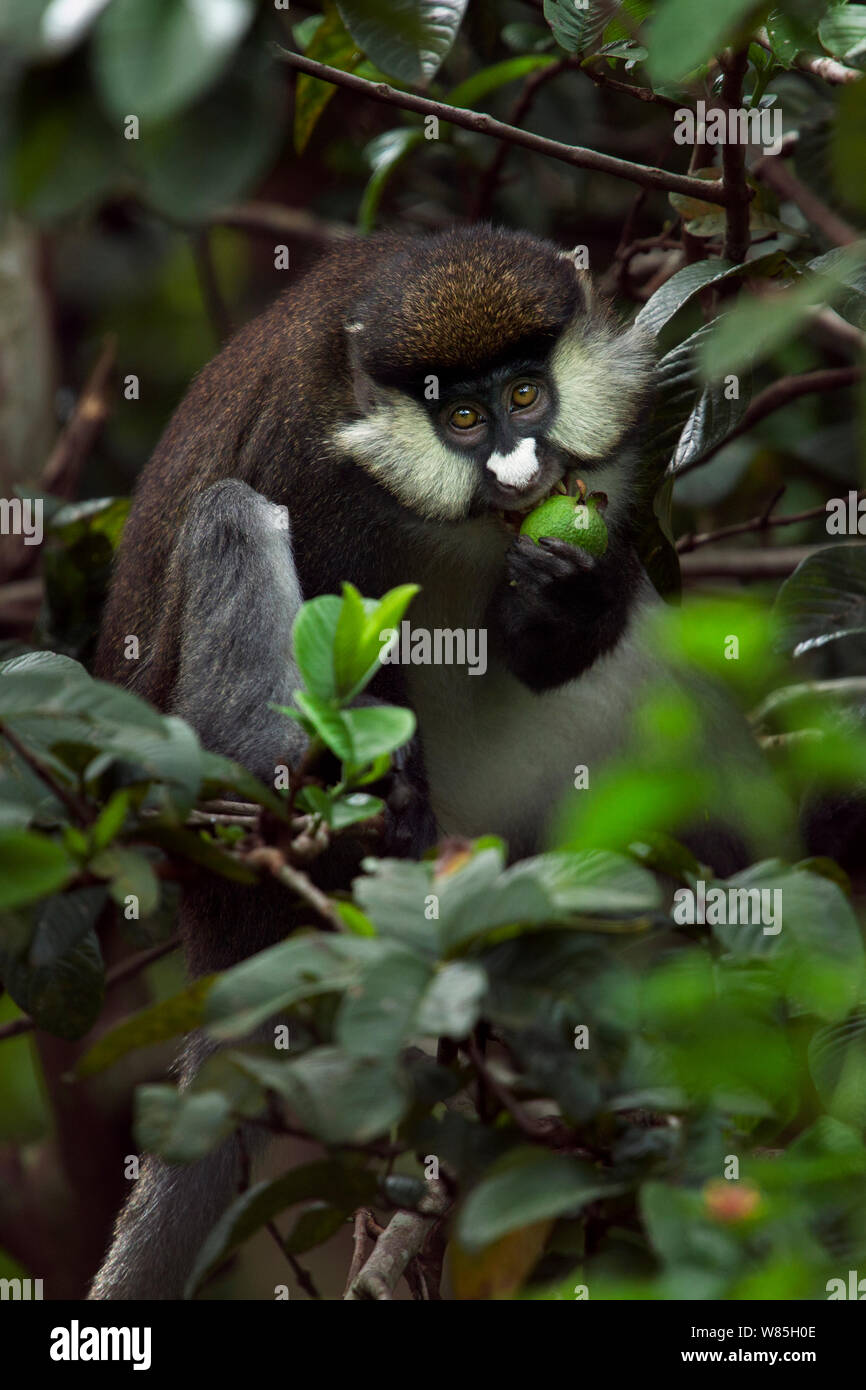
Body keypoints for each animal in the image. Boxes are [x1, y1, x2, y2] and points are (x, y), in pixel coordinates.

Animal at [88, 224, 747, 1299]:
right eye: (463, 418)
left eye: (526, 397)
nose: (520, 469)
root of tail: (218, 938)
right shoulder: (318, 468)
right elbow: (337, 611)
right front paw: (387, 809)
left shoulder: (614, 456)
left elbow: (567, 633)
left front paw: (567, 595)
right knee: (230, 513)